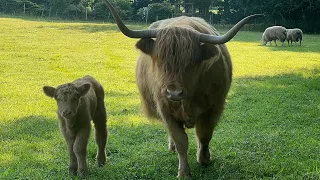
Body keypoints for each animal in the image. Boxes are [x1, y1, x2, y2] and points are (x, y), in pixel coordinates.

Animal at [105, 0, 262, 177]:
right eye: (160, 60)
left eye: (192, 63)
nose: (173, 92)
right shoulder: (165, 110)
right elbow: (180, 140)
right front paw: (184, 171)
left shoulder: (213, 108)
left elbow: (204, 135)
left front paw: (204, 159)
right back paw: (171, 147)